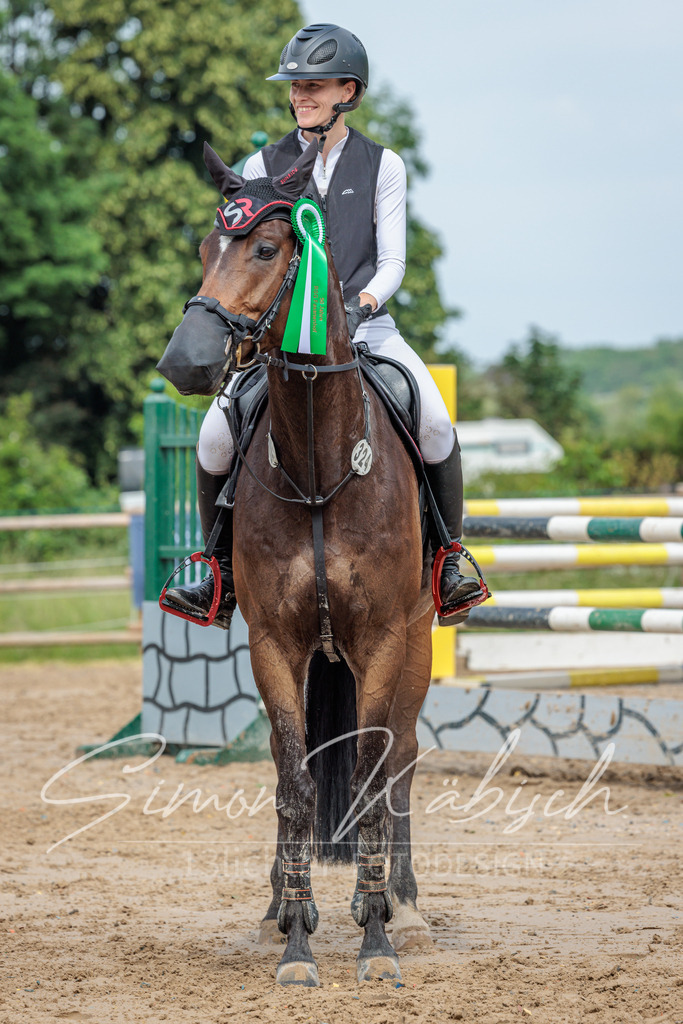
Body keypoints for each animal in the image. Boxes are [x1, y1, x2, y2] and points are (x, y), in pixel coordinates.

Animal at [158, 138, 441, 987]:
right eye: (203, 247)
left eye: (265, 248)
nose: (186, 362)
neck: (319, 464)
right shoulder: (274, 644)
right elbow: (293, 782)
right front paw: (294, 940)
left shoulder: (382, 641)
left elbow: (375, 782)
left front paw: (377, 942)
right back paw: (286, 904)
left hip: (417, 641)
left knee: (401, 759)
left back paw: (402, 906)